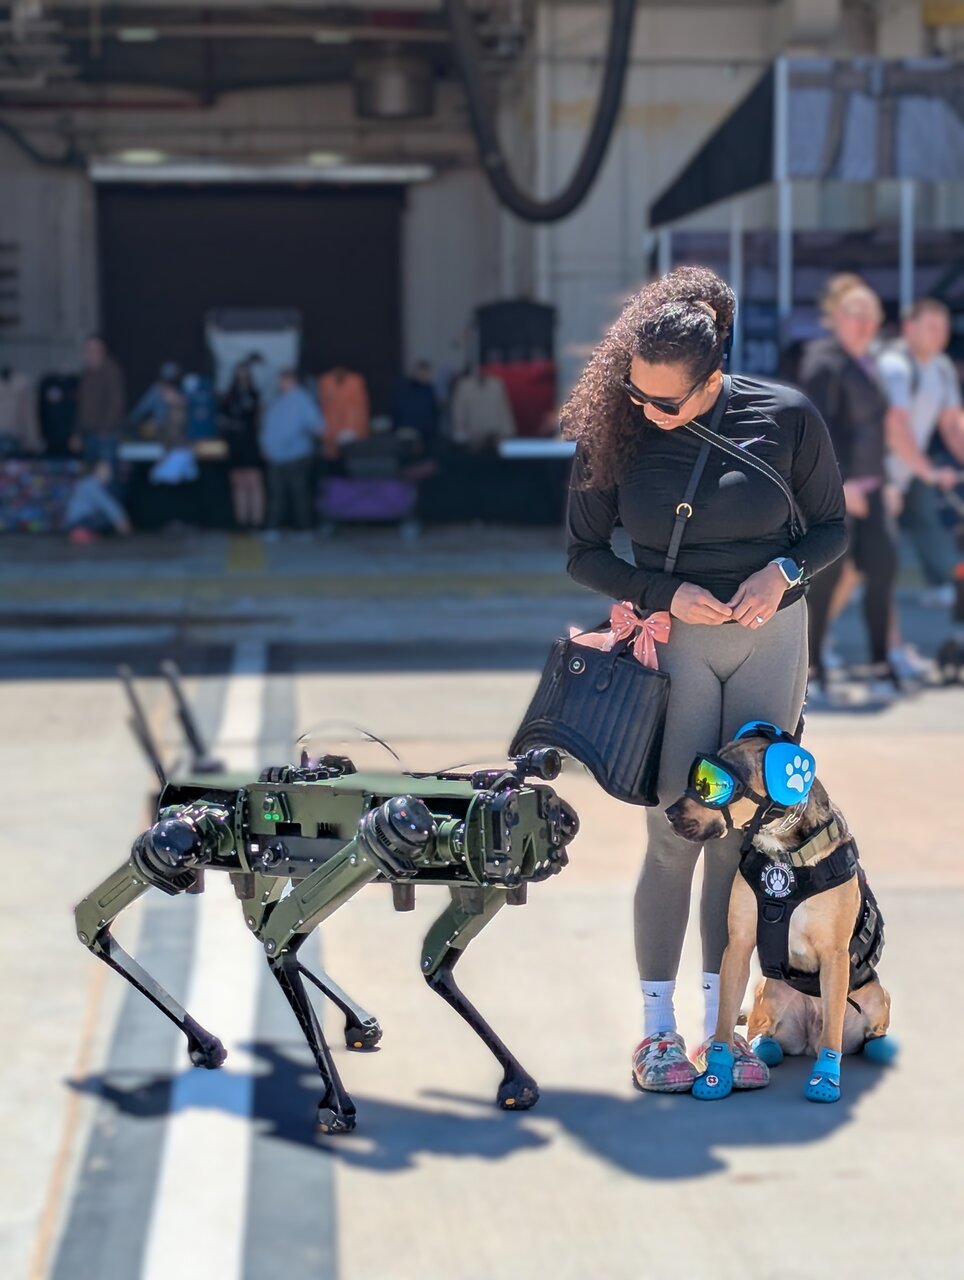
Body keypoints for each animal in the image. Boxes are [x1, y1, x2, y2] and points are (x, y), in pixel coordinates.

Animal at [665, 720, 895, 1103]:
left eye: (716, 788)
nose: (669, 813)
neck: (785, 852)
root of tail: (808, 1038)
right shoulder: (738, 945)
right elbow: (723, 1020)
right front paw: (717, 1074)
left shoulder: (835, 957)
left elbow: (833, 1032)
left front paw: (825, 1078)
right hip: (767, 990)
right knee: (763, 1028)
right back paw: (766, 1047)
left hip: (877, 995)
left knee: (856, 1030)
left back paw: (880, 1047)